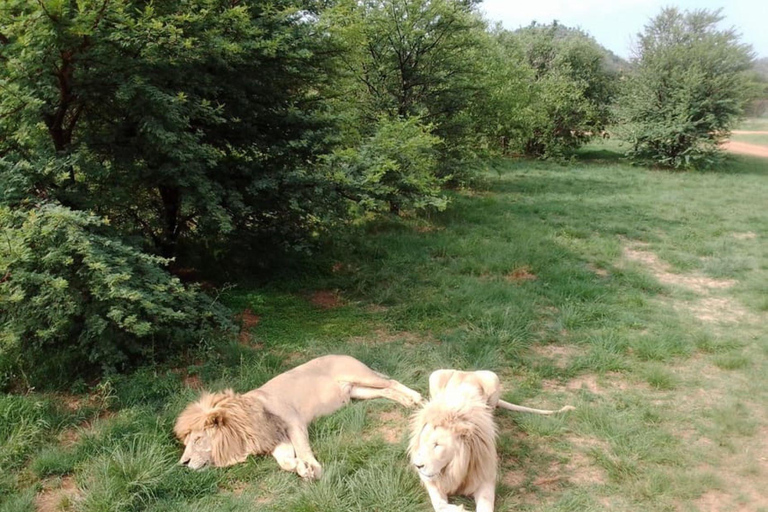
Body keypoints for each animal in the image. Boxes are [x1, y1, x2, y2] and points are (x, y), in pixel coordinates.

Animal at [174, 355, 422, 479]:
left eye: (198, 439)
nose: (183, 463)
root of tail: (344, 353)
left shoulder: (294, 422)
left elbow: (303, 448)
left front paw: (313, 468)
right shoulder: (274, 440)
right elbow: (284, 461)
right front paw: (299, 467)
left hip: (362, 376)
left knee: (392, 382)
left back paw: (416, 399)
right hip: (357, 391)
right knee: (386, 391)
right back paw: (406, 402)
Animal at [409, 369, 574, 511]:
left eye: (437, 445)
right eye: (422, 442)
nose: (417, 466)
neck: (456, 465)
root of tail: (467, 371)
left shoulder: (485, 476)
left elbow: (485, 505)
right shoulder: (432, 480)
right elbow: (439, 504)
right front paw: (458, 508)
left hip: (493, 379)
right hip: (435, 376)